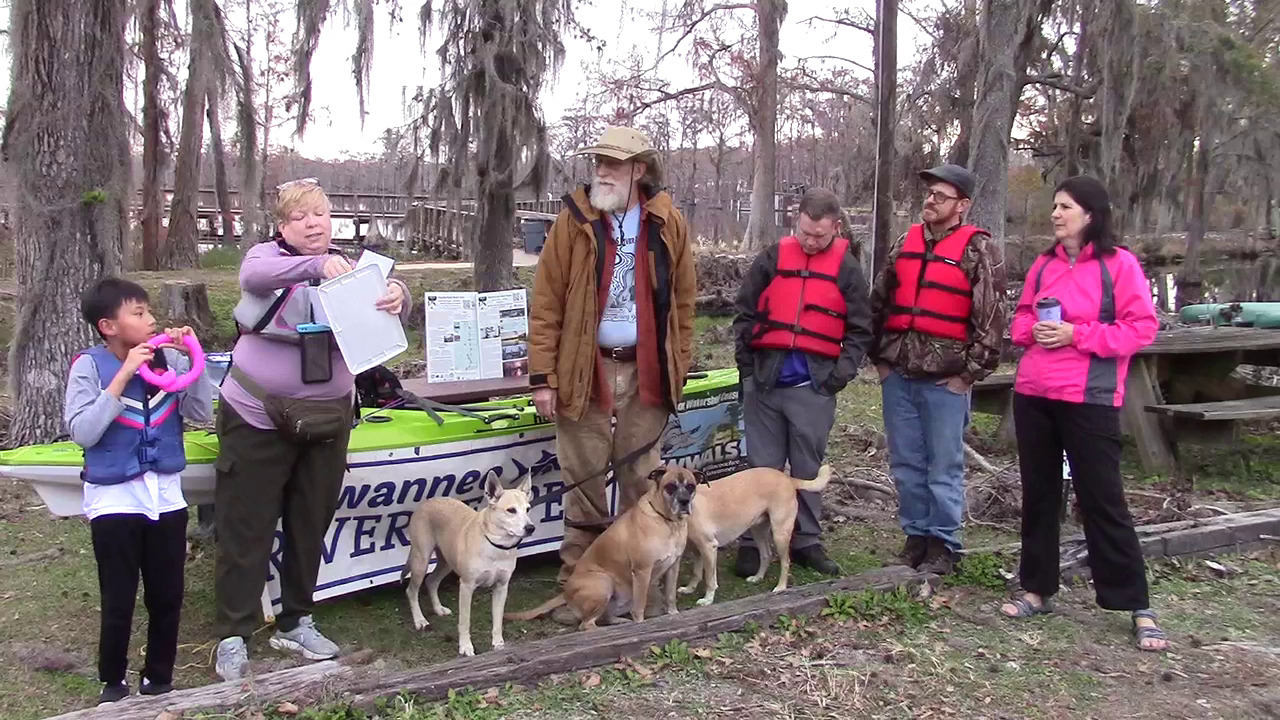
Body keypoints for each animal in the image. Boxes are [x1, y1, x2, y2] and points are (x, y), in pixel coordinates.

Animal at [404, 474, 535, 653]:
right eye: (511, 510)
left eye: (528, 509)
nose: (531, 528)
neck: (495, 545)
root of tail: (428, 501)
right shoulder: (467, 586)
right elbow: (465, 621)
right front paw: (466, 647)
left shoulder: (501, 587)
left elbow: (498, 620)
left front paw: (498, 644)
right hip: (421, 561)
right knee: (411, 591)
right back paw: (420, 620)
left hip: (446, 562)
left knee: (431, 581)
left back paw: (438, 609)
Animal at [504, 466, 696, 627]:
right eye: (670, 486)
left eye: (691, 486)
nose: (684, 501)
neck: (668, 521)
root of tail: (566, 591)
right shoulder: (642, 571)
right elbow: (640, 607)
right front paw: (640, 624)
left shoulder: (673, 566)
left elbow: (670, 596)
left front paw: (674, 615)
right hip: (604, 582)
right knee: (586, 625)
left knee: (604, 617)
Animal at [680, 461, 829, 602]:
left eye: (689, 486)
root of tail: (787, 477)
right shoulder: (697, 549)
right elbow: (696, 573)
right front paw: (689, 589)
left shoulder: (708, 547)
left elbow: (710, 579)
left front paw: (708, 599)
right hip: (758, 530)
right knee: (766, 555)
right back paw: (758, 577)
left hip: (780, 534)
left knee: (786, 561)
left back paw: (781, 587)